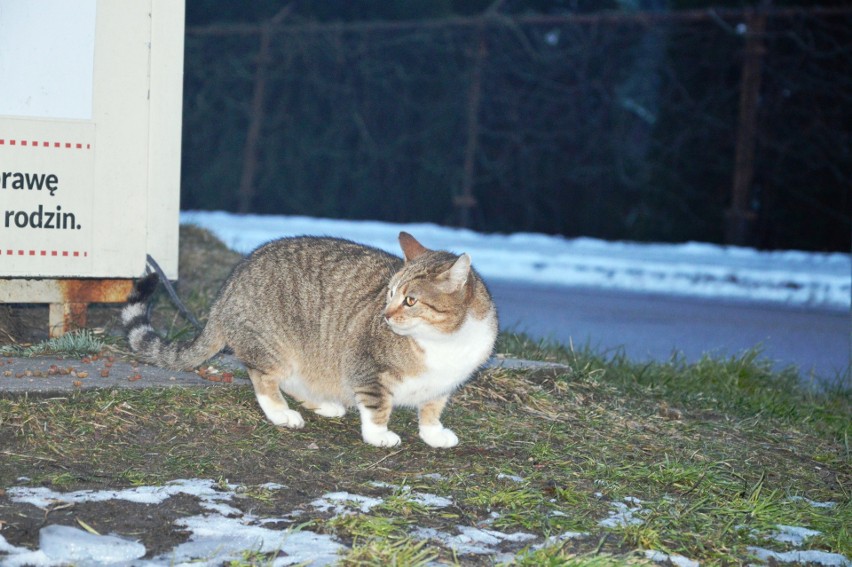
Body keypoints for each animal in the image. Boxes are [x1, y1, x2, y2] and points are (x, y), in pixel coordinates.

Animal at [125, 233, 500, 450]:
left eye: (410, 301)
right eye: (390, 293)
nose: (384, 316)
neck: (444, 342)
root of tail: (226, 292)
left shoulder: (445, 383)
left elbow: (433, 408)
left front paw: (433, 433)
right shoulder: (365, 367)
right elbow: (377, 405)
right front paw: (379, 435)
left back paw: (323, 402)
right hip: (275, 345)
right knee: (264, 379)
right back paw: (281, 413)